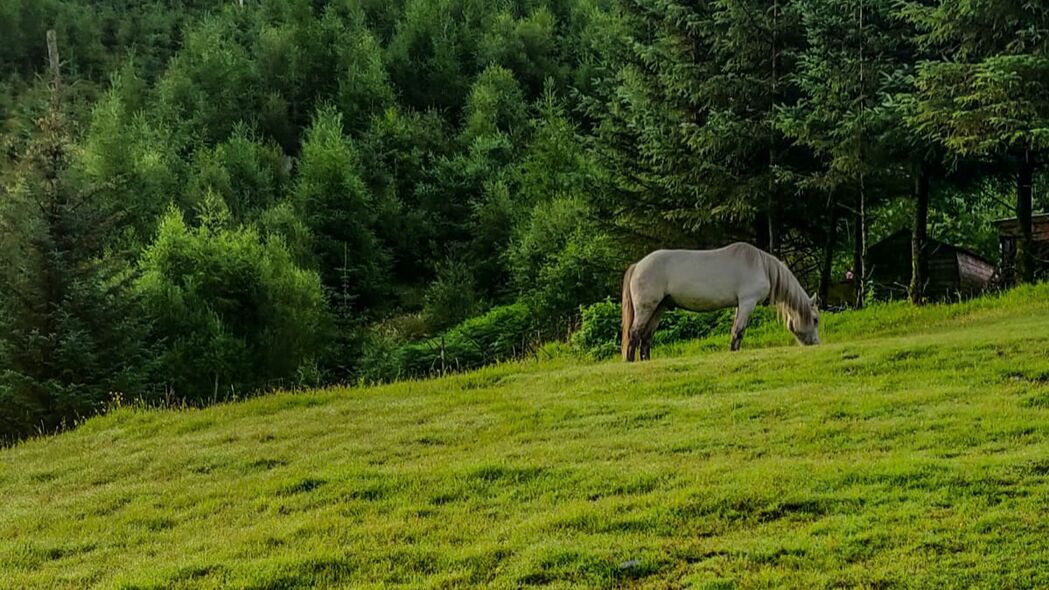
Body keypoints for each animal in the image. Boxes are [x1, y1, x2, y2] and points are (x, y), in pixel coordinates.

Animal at [621, 242, 818, 361]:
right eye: (815, 320)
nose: (816, 344)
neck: (760, 265)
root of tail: (638, 265)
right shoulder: (748, 303)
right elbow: (739, 331)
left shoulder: (740, 305)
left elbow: (735, 331)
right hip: (646, 308)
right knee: (634, 334)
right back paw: (630, 361)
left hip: (659, 308)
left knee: (646, 337)